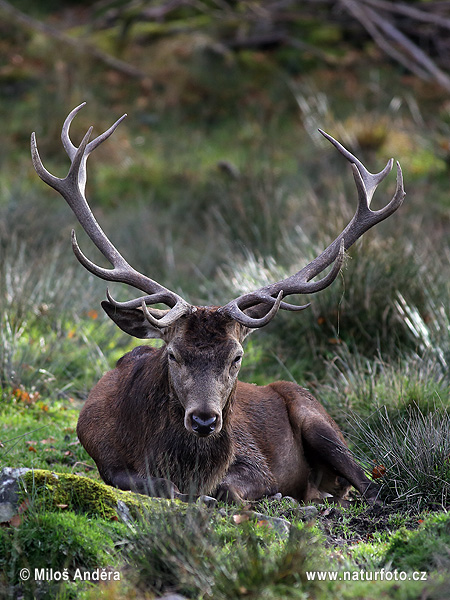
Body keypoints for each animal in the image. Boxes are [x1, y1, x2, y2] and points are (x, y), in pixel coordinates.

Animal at [30, 104, 404, 506]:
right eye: (173, 354)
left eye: (236, 356)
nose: (204, 420)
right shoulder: (104, 457)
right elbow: (151, 483)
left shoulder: (255, 461)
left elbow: (230, 486)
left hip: (316, 417)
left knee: (368, 484)